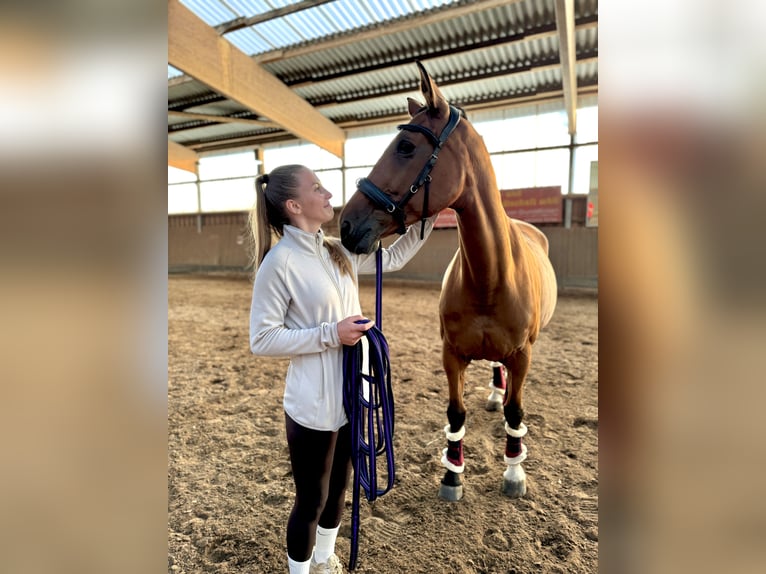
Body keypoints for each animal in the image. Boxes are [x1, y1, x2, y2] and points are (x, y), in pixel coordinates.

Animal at [340, 63, 556, 502]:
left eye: (406, 146)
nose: (347, 225)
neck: (490, 278)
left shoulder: (523, 355)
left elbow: (516, 412)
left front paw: (514, 472)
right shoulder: (451, 354)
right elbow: (455, 413)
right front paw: (452, 475)